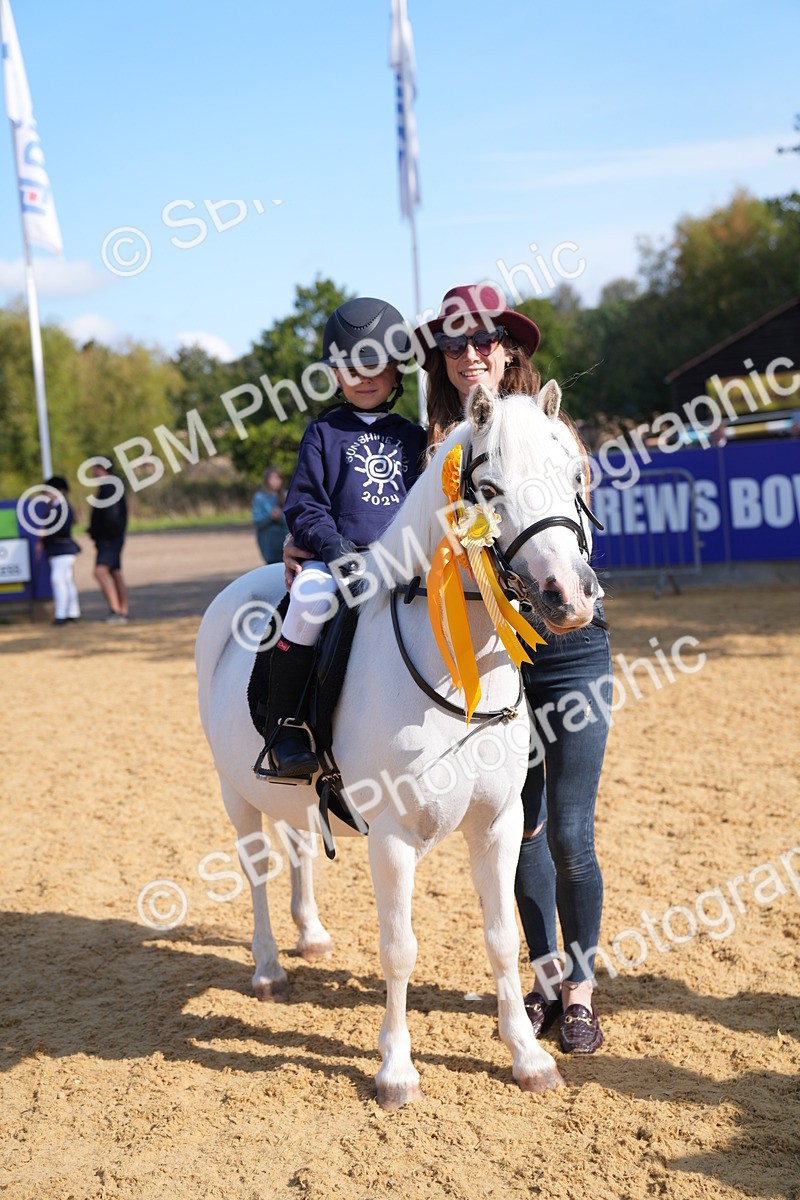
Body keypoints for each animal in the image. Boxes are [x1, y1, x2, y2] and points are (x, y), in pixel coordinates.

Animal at [195, 380, 601, 1108]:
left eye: (572, 473)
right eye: (488, 488)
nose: (570, 596)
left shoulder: (499, 825)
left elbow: (503, 938)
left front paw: (528, 1056)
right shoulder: (390, 838)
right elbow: (399, 948)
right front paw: (396, 1070)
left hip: (295, 798)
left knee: (299, 849)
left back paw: (311, 937)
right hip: (235, 794)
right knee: (258, 869)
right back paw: (268, 968)